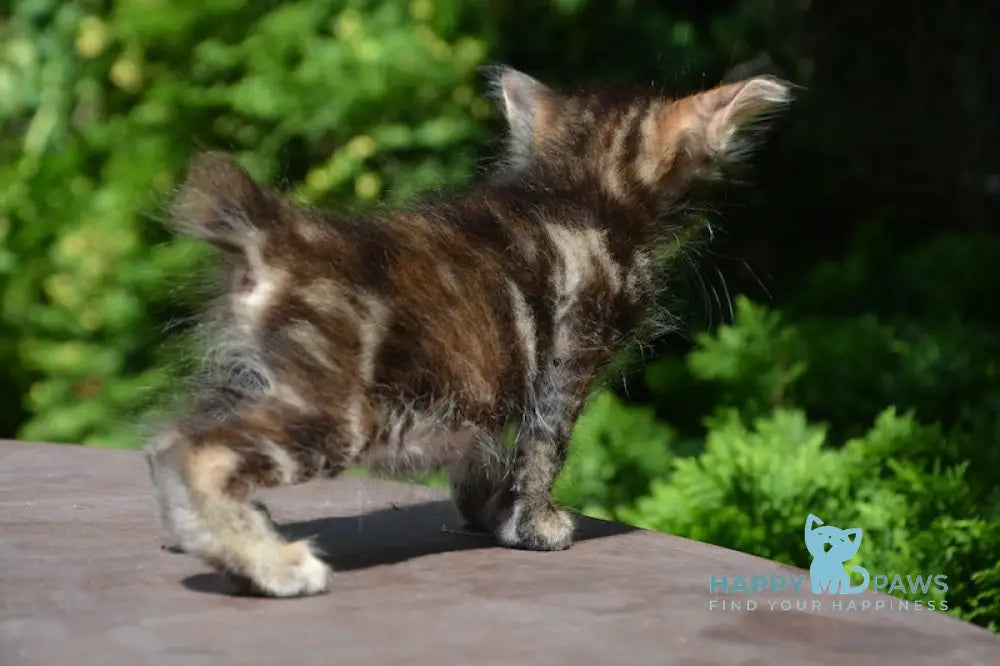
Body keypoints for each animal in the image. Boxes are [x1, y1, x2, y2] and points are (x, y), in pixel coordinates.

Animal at [146, 67, 788, 596]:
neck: (578, 187)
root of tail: (271, 236)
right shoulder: (572, 353)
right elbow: (545, 450)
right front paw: (537, 527)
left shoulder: (486, 381)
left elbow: (483, 452)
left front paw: (486, 512)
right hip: (335, 410)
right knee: (198, 453)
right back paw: (274, 565)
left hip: (251, 377)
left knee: (166, 442)